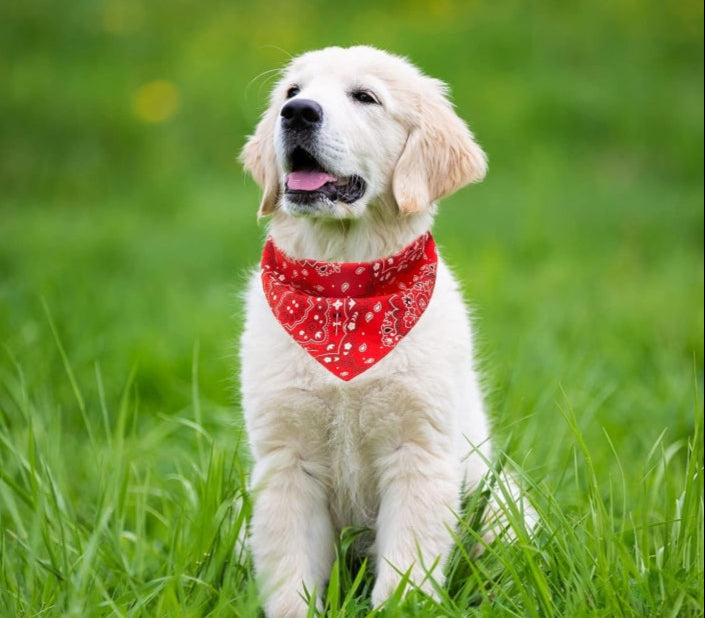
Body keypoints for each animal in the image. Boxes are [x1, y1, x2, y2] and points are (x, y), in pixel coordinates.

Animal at [239, 45, 532, 612]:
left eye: (365, 97)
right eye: (291, 92)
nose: (297, 113)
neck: (345, 293)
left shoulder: (418, 453)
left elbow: (406, 572)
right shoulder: (285, 460)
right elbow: (289, 574)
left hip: (500, 498)